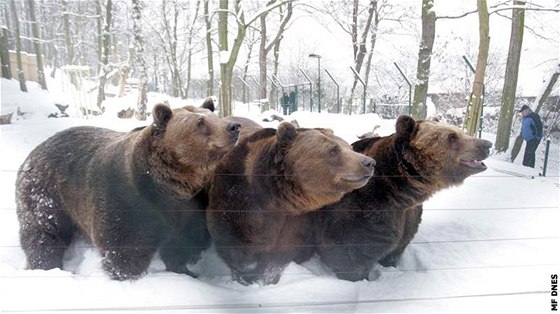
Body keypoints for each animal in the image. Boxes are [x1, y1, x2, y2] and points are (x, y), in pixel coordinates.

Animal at [16, 103, 240, 280]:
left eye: (215, 115)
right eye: (200, 122)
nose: (233, 127)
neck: (169, 186)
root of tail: (34, 151)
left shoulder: (190, 206)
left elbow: (181, 244)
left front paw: (185, 271)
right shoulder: (127, 199)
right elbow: (125, 246)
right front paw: (126, 275)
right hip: (47, 194)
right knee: (44, 232)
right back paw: (46, 266)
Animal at [207, 122, 376, 288]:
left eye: (349, 147)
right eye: (333, 150)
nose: (369, 162)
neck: (274, 199)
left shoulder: (294, 222)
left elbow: (280, 255)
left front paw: (267, 279)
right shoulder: (237, 204)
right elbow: (238, 251)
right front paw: (246, 277)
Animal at [312, 115, 492, 282]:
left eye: (460, 131)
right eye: (452, 137)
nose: (487, 144)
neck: (396, 193)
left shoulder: (406, 218)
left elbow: (396, 248)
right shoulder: (357, 217)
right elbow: (348, 255)